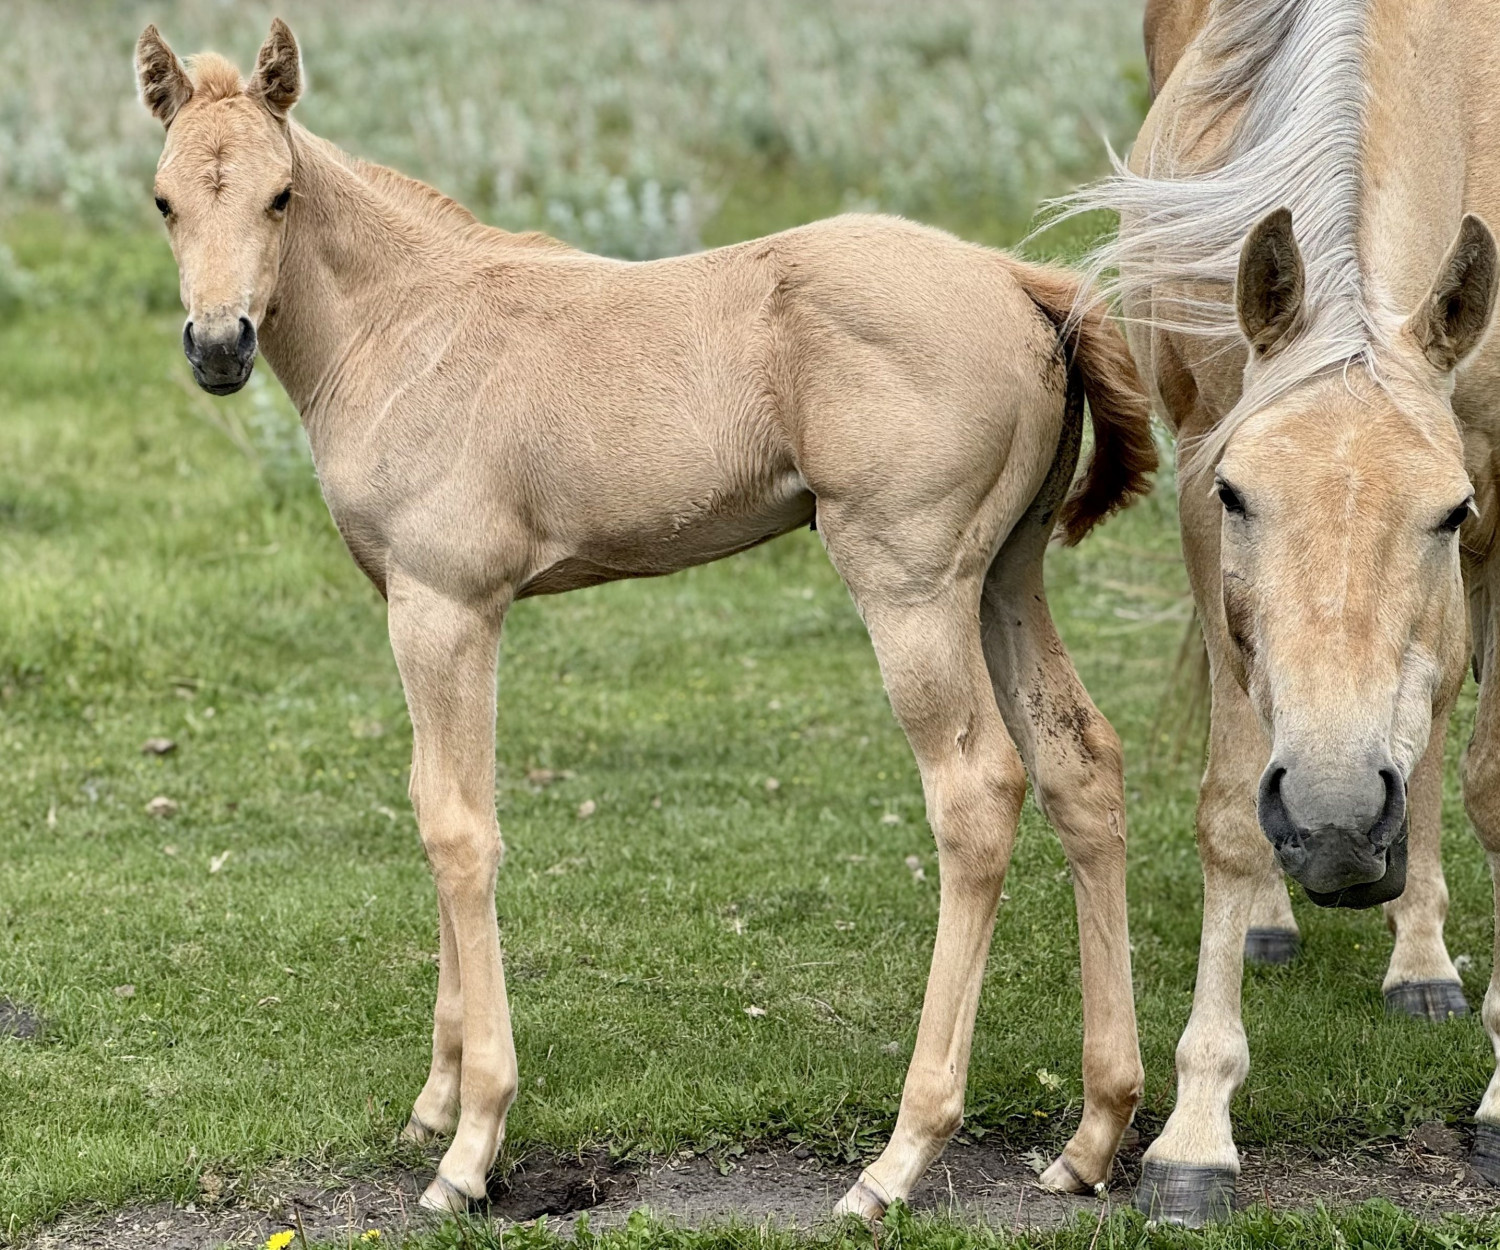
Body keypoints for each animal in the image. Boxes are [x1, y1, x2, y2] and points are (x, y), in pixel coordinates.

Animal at [134, 19, 1156, 1215]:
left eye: (281, 195)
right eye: (165, 199)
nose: (219, 346)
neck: (404, 321)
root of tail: (1015, 277)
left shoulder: (447, 608)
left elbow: (458, 828)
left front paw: (470, 1141)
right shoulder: (419, 608)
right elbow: (438, 805)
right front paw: (435, 1099)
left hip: (911, 584)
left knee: (978, 791)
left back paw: (900, 1155)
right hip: (1004, 574)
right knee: (1081, 763)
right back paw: (1093, 1133)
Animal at [1070, 0, 1500, 1226]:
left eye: (1449, 509)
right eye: (1237, 495)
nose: (1341, 822)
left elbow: (1489, 779)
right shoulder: (1197, 496)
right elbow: (1224, 808)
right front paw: (1196, 1134)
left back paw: (1420, 960)